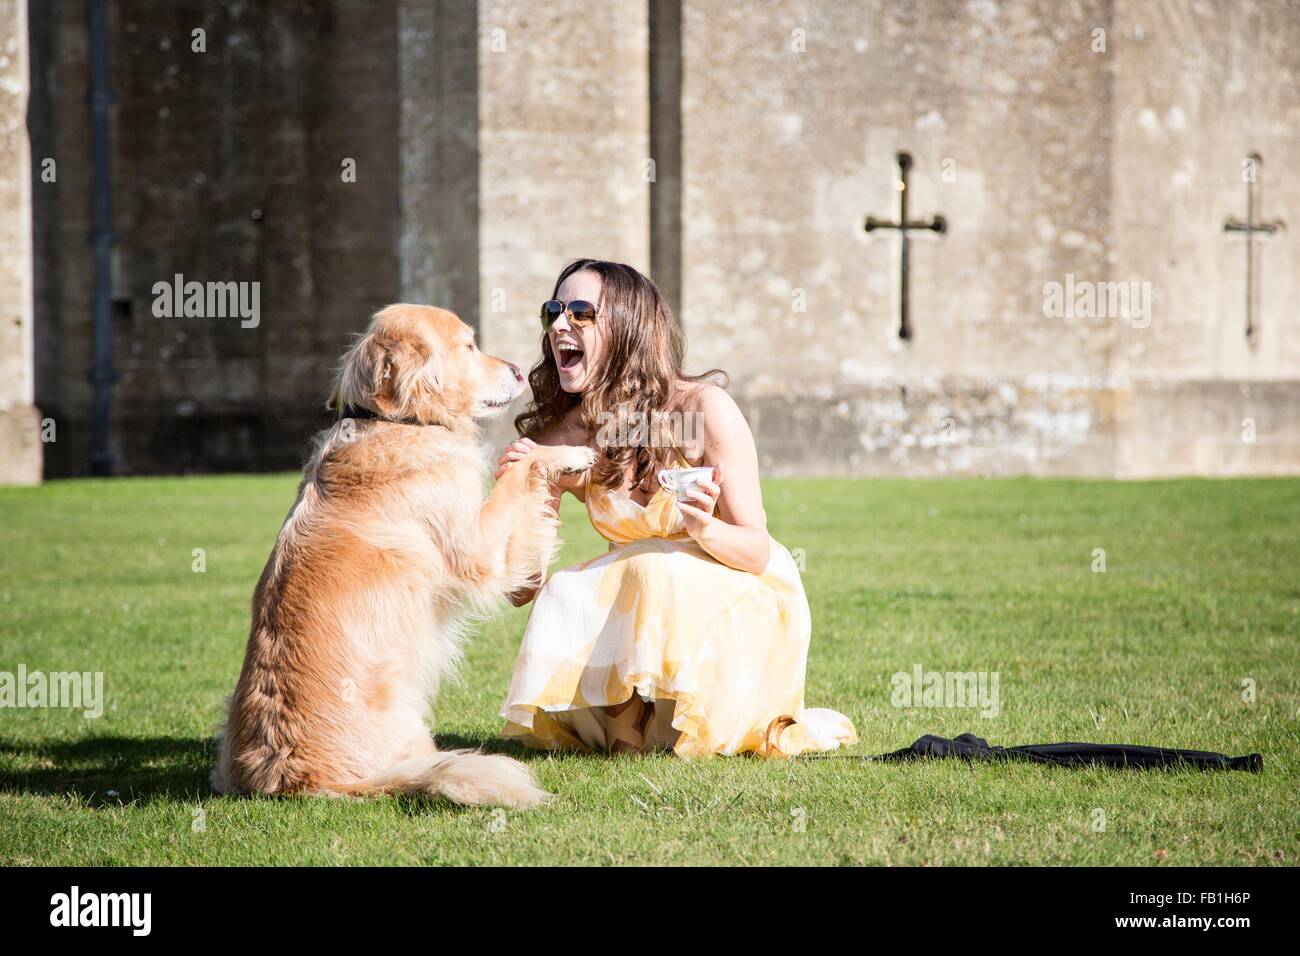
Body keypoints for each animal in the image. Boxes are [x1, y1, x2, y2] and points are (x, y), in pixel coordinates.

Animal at [213, 304, 595, 806]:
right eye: (469, 346)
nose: (518, 371)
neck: (398, 421)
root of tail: (297, 778)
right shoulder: (479, 550)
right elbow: (522, 471)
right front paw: (568, 452)